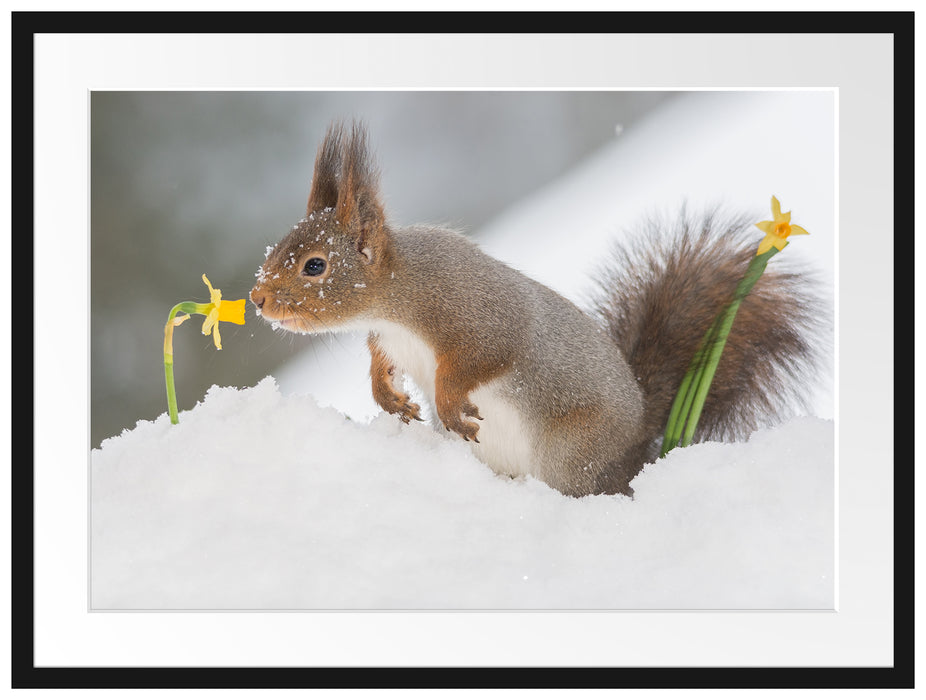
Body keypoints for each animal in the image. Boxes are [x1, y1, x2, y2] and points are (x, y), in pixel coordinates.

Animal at [248, 121, 828, 498]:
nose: (257, 298)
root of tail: (639, 447)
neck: (397, 297)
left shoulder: (478, 316)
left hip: (571, 454)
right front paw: (390, 399)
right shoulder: (388, 339)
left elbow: (481, 359)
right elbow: (380, 365)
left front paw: (449, 404)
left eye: (316, 266)